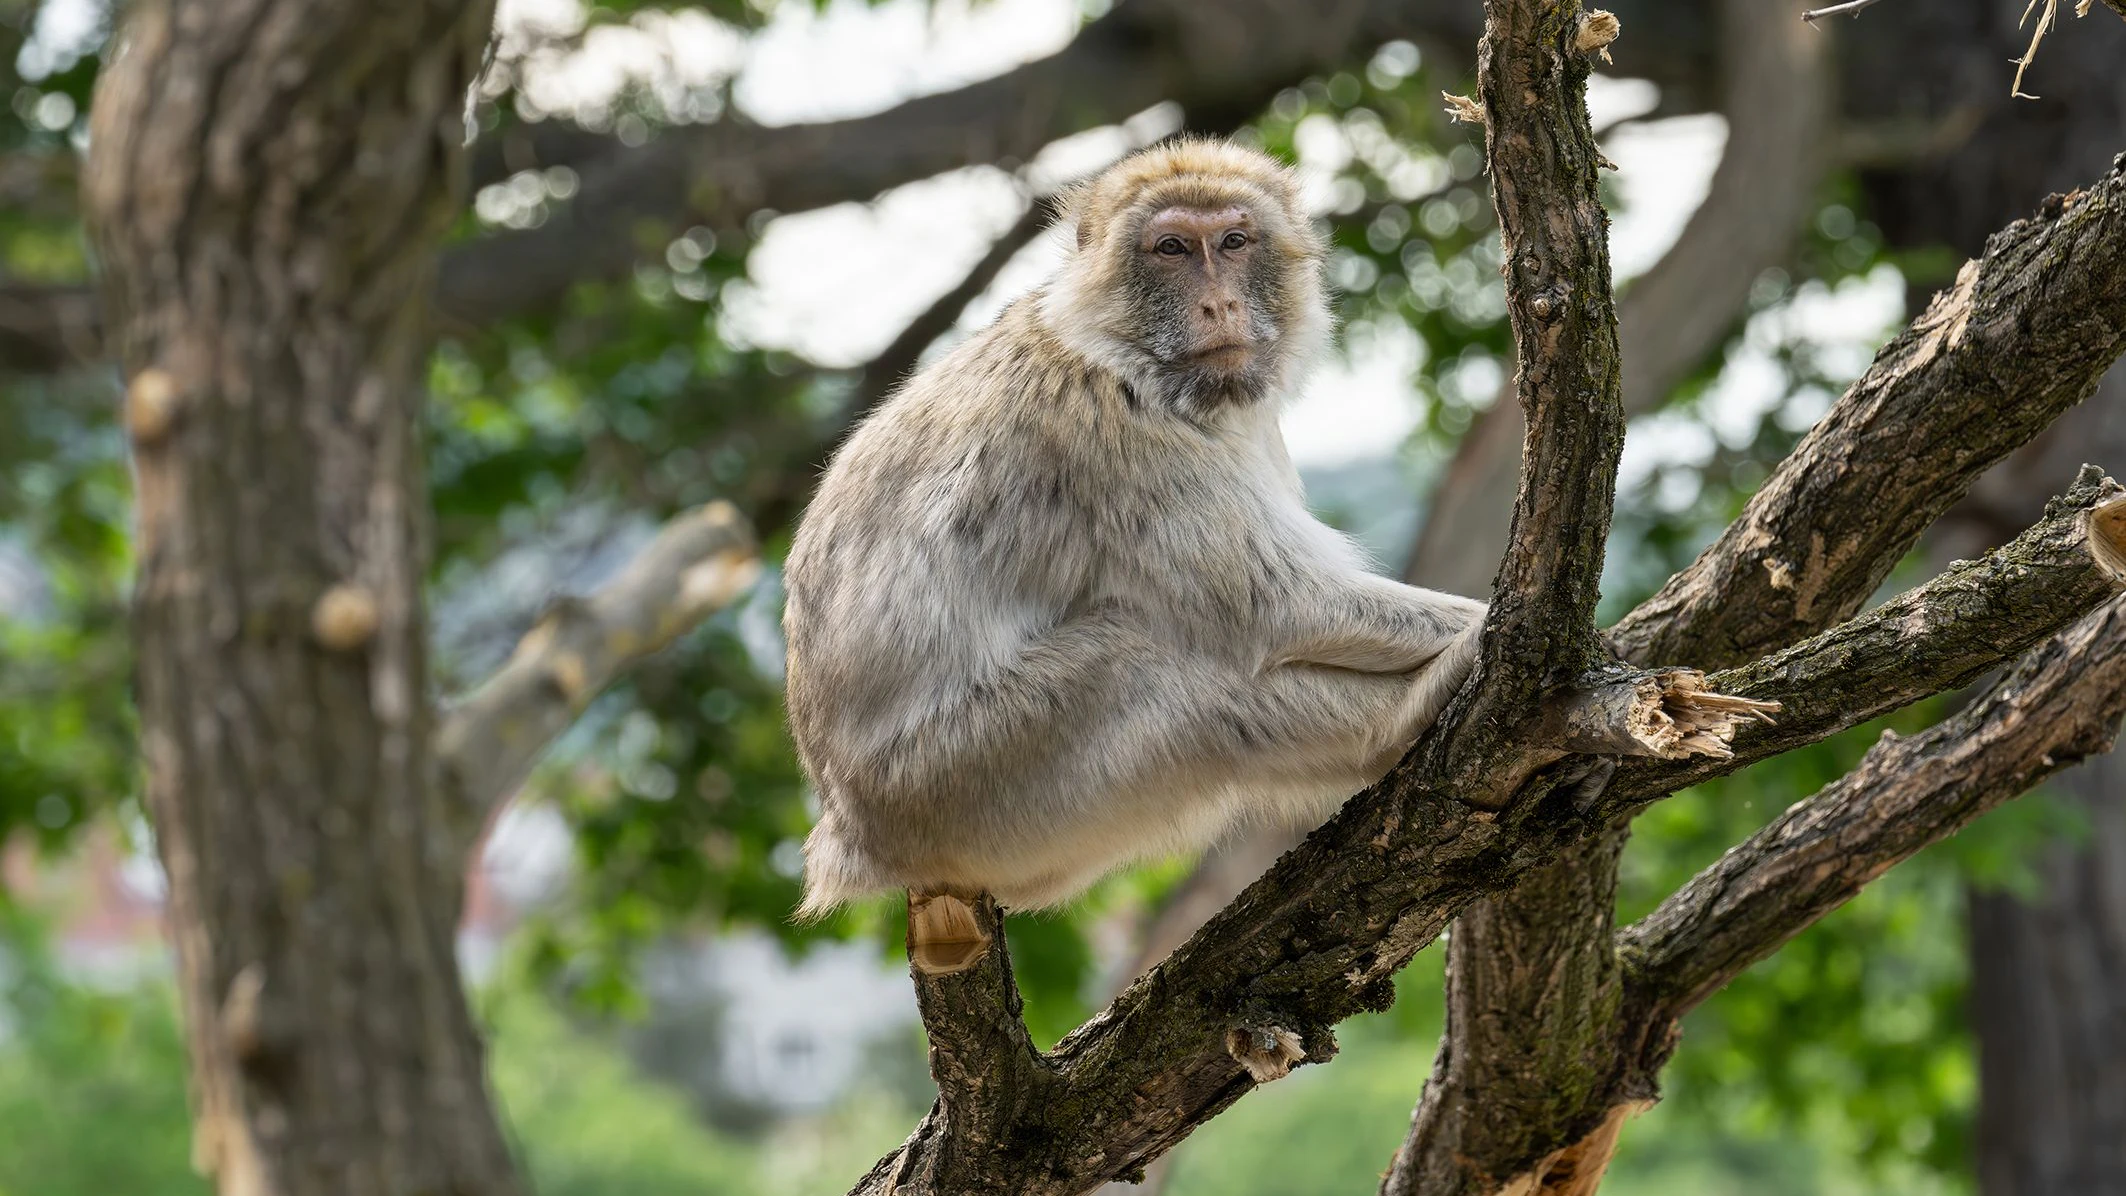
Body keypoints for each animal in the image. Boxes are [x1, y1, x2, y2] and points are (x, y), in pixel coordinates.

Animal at [782, 139, 1487, 967]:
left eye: (1234, 241)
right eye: (1172, 249)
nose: (1218, 305)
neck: (1119, 357)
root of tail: (844, 835)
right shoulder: (1110, 434)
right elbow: (1277, 606)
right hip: (957, 788)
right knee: (1154, 664)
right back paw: (1394, 723)